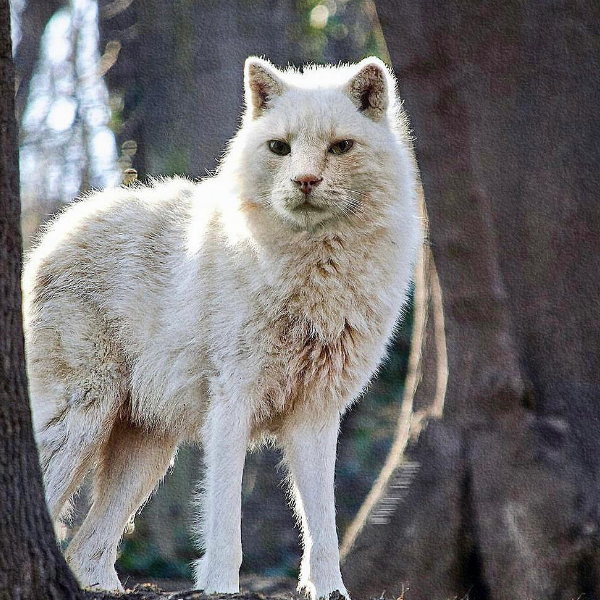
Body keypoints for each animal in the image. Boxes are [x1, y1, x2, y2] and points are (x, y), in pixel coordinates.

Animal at [23, 56, 422, 600]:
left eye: (341, 146)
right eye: (280, 147)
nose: (306, 181)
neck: (315, 273)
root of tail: (53, 232)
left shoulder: (316, 415)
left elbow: (324, 526)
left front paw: (331, 590)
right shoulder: (233, 403)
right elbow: (224, 519)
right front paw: (218, 586)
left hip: (148, 452)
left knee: (87, 550)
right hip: (83, 420)